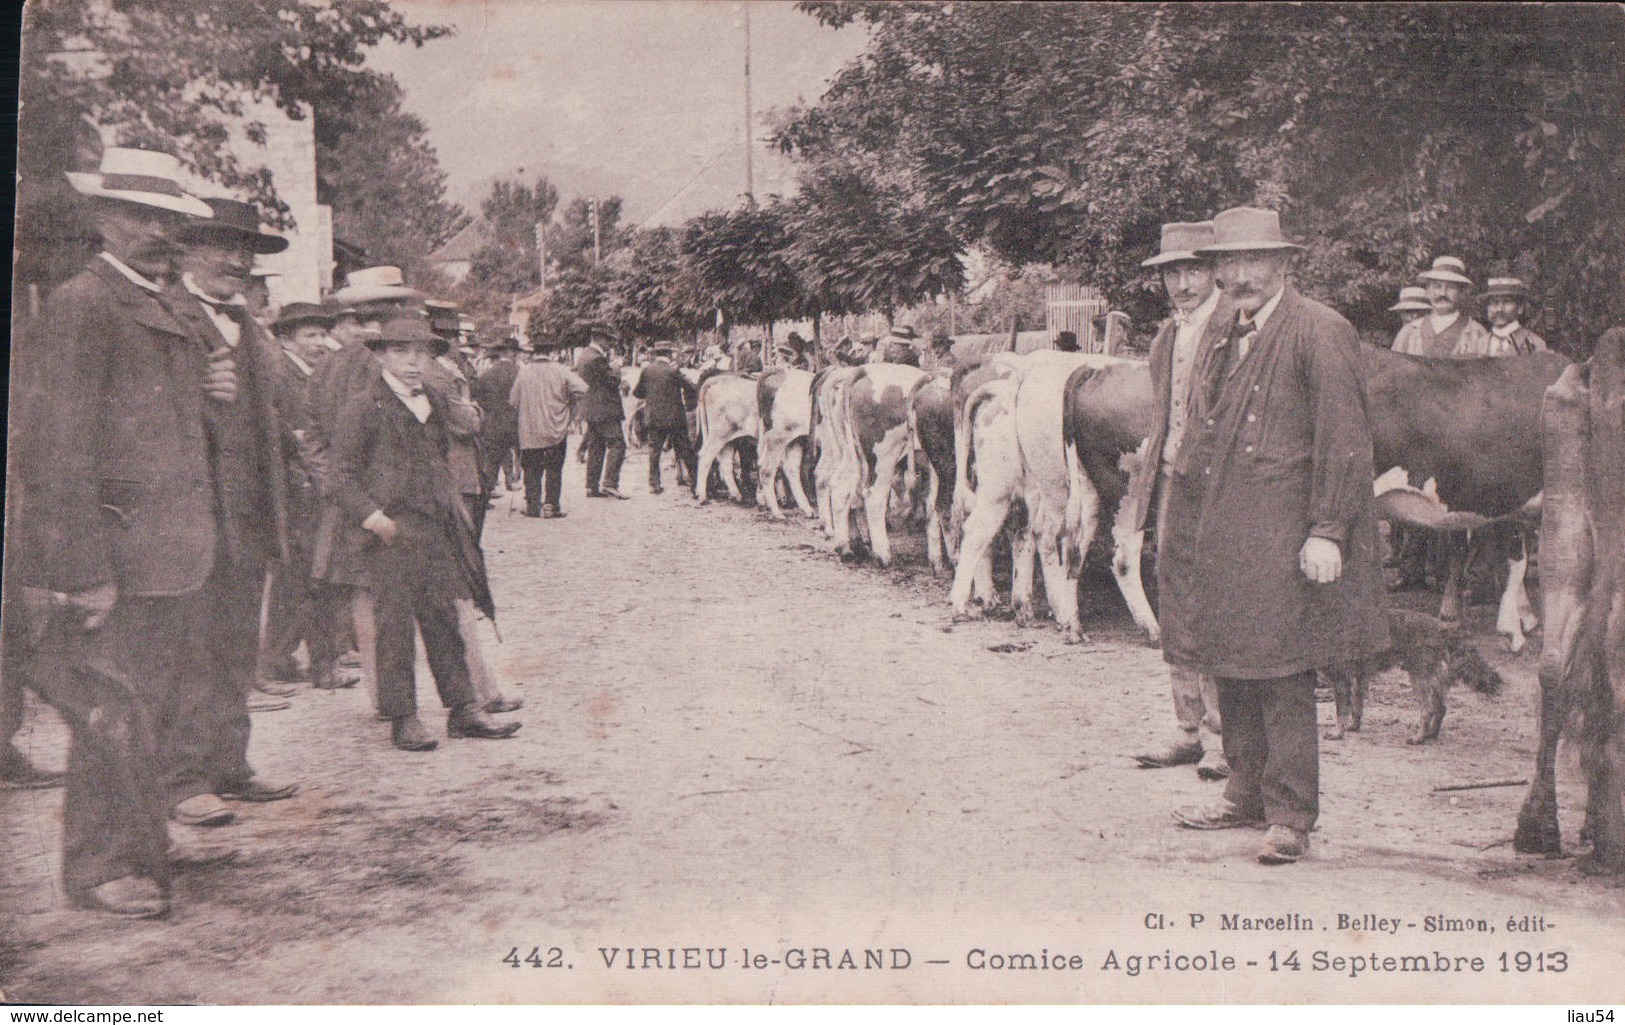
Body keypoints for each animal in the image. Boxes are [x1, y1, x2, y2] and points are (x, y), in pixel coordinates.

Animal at [1319, 610, 1495, 747]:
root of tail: (1442, 626)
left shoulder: (1341, 680)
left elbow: (1341, 711)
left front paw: (1337, 733)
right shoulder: (1359, 678)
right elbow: (1357, 706)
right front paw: (1353, 727)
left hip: (1419, 677)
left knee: (1428, 709)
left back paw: (1418, 738)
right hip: (1433, 678)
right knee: (1440, 708)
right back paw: (1430, 734)